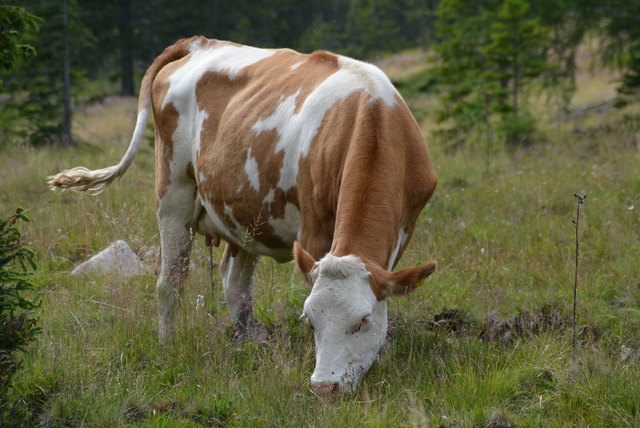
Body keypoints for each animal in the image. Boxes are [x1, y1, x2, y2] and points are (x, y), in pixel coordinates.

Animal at [50, 36, 438, 394]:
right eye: (310, 321)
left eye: (363, 320)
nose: (324, 386)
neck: (372, 116)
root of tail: (198, 43)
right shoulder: (313, 230)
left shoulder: (403, 228)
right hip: (173, 191)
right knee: (170, 279)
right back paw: (168, 344)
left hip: (245, 216)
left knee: (234, 282)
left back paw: (246, 341)